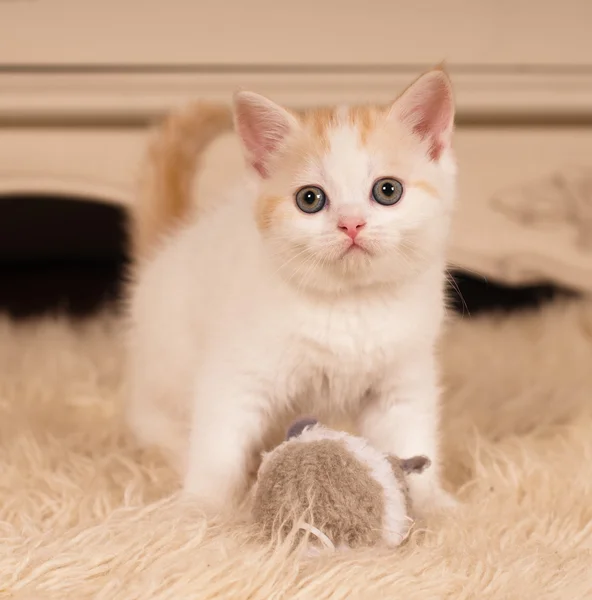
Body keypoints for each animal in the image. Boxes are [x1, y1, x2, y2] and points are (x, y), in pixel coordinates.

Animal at [125, 67, 458, 516]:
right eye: (310, 199)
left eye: (388, 190)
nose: (351, 224)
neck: (351, 303)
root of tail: (171, 242)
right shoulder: (237, 371)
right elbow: (218, 446)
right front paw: (204, 509)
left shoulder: (402, 379)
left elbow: (412, 438)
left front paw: (433, 506)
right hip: (165, 371)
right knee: (157, 422)